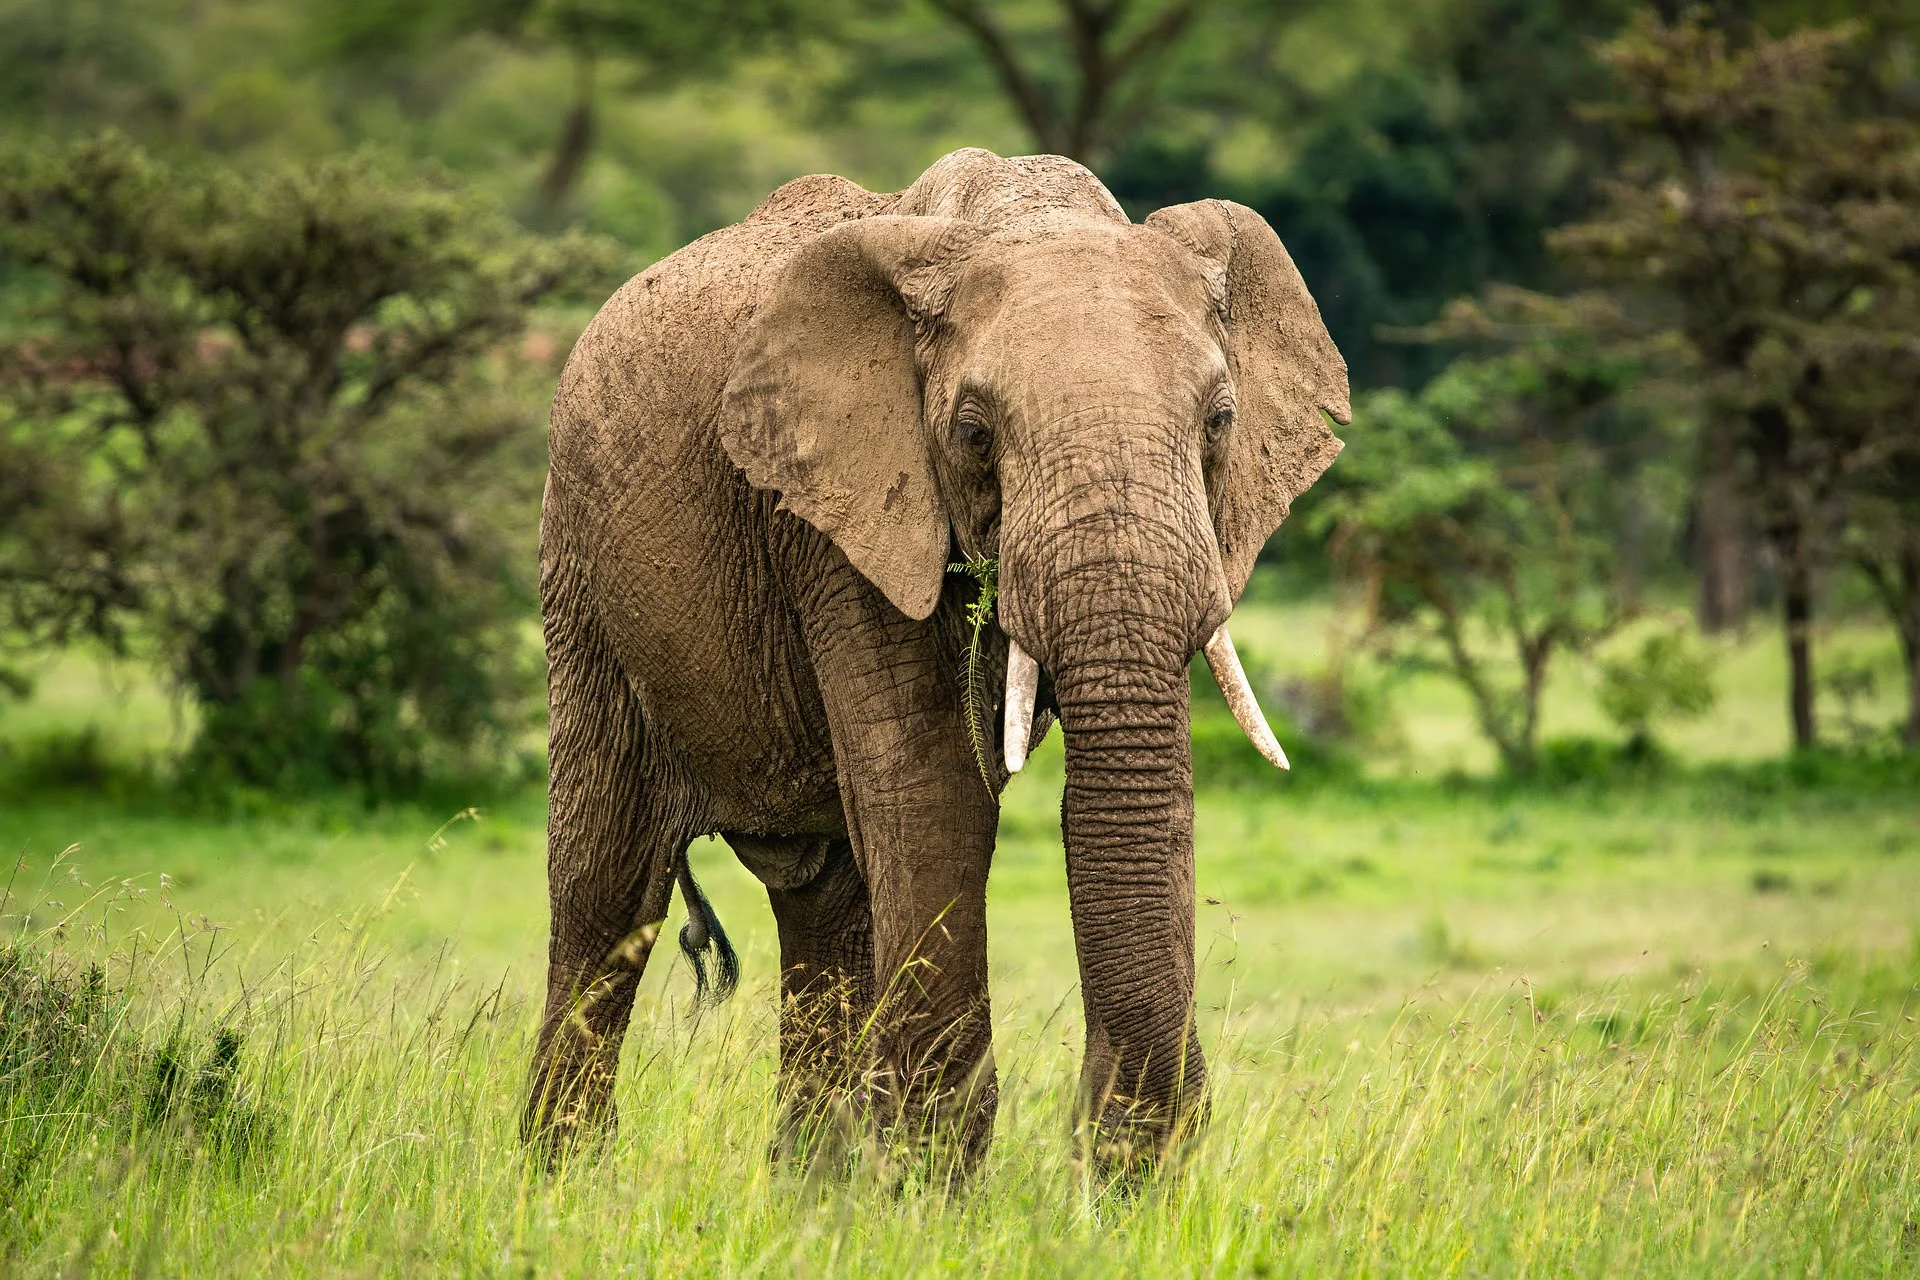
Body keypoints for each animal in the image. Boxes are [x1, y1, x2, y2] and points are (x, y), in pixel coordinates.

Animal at [526, 147, 1351, 1174]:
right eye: (973, 432)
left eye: (1220, 422)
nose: (1108, 1150)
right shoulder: (836, 519)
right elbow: (934, 792)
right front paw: (931, 1178)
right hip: (581, 574)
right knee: (607, 893)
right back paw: (560, 1184)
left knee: (825, 901)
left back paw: (812, 1191)